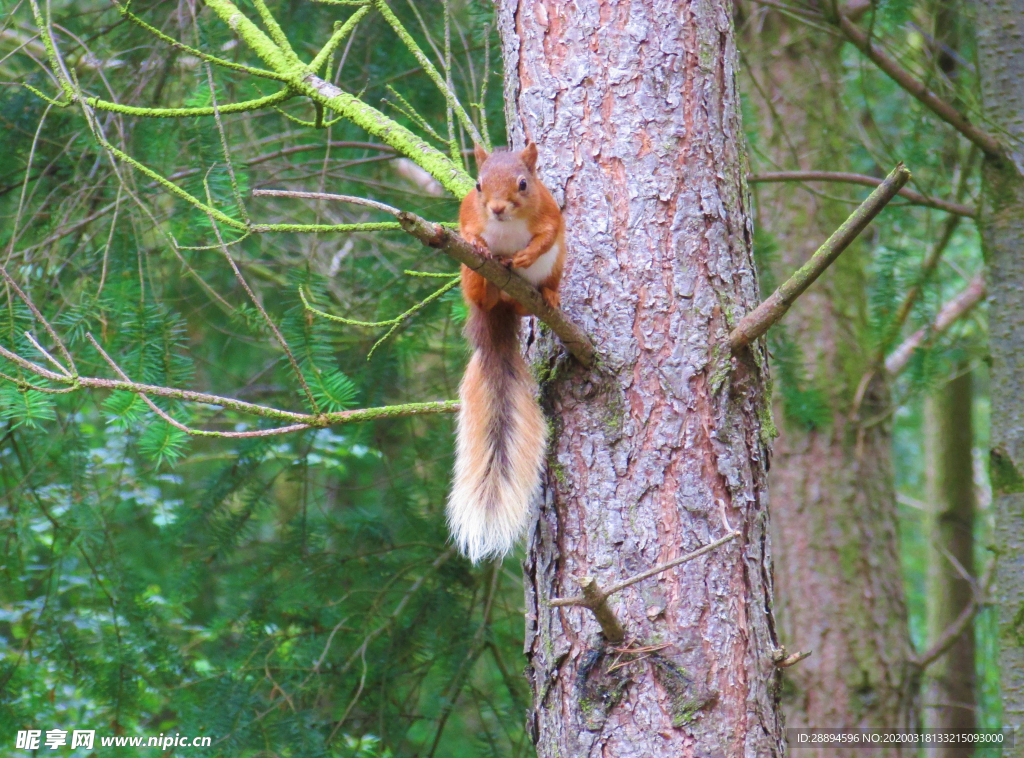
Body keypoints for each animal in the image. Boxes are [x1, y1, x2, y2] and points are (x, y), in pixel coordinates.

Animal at [446, 140, 565, 561]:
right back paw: (488, 280)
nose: (497, 208)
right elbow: (467, 229)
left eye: (524, 184)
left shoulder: (551, 214)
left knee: (533, 298)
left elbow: (546, 235)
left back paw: (547, 296)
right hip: (469, 276)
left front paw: (525, 255)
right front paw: (483, 243)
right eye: (478, 185)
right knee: (483, 292)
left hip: (554, 269)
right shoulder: (468, 214)